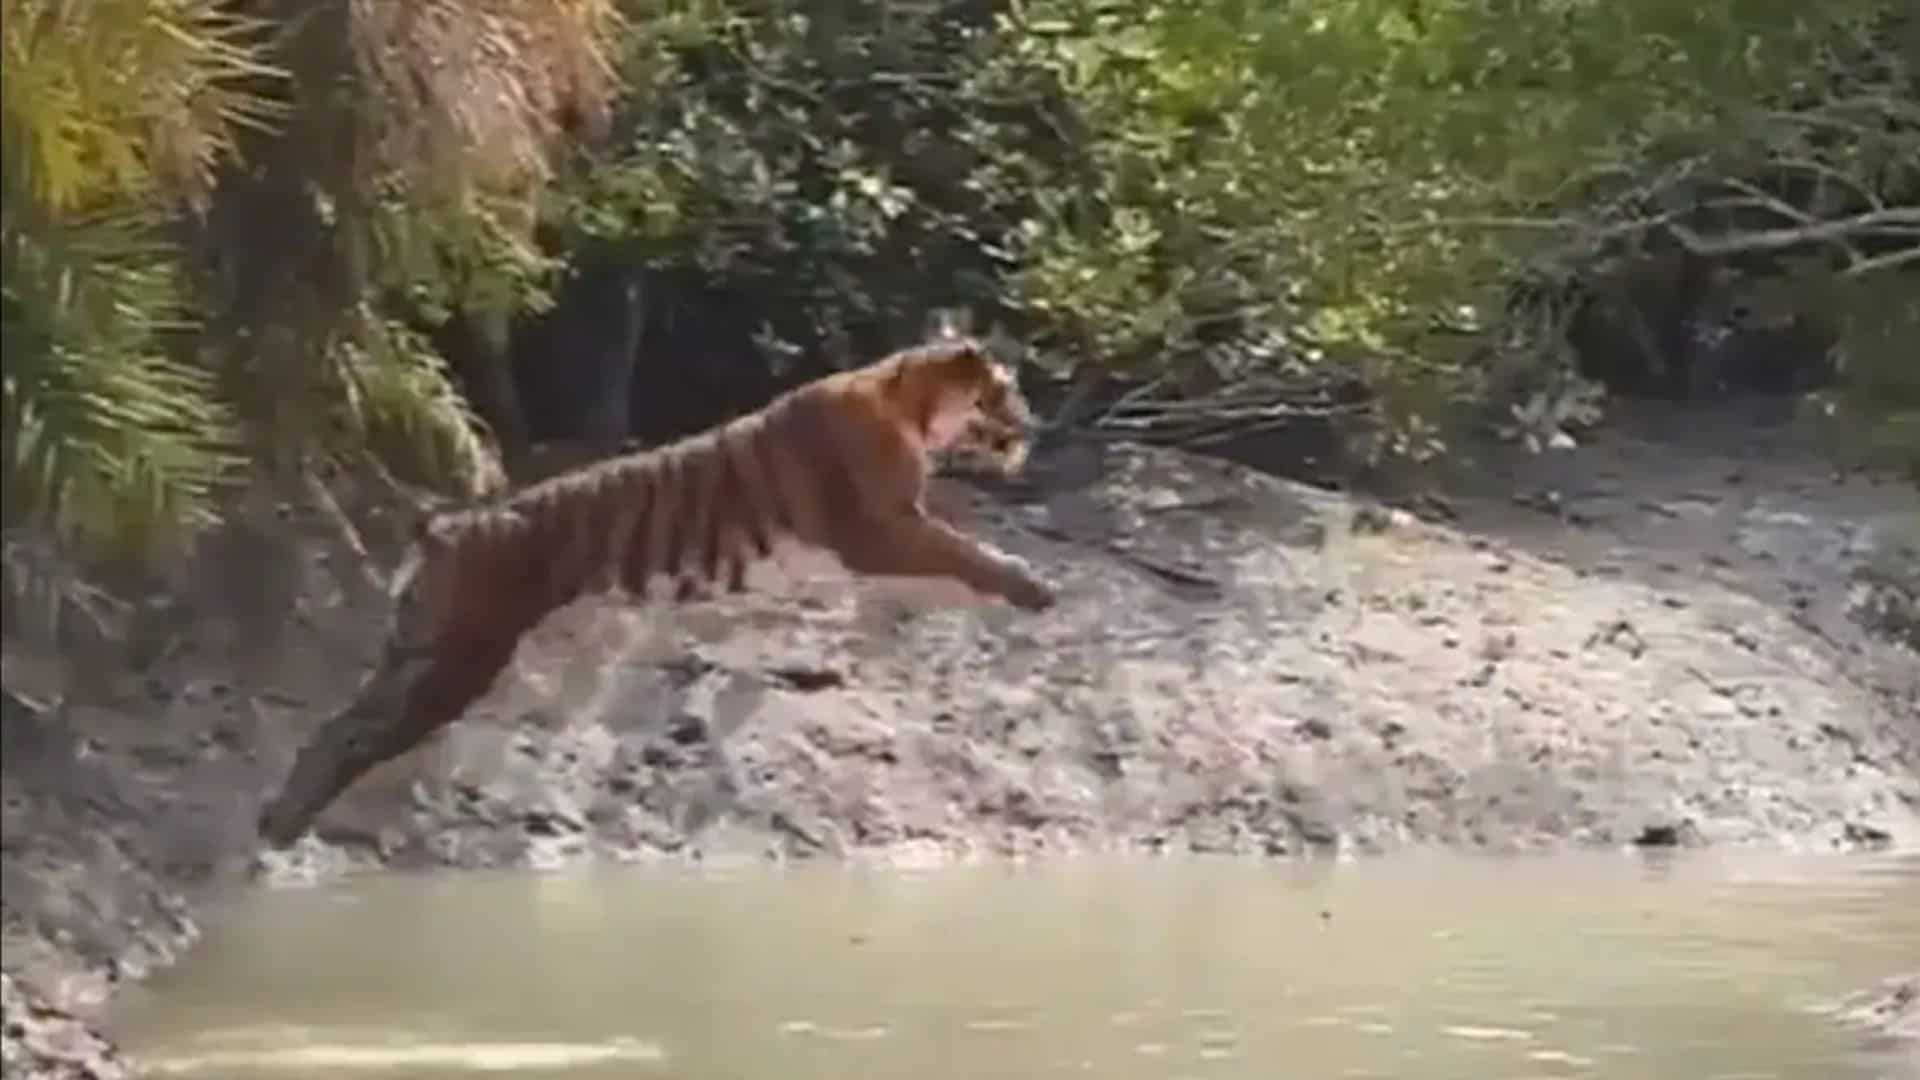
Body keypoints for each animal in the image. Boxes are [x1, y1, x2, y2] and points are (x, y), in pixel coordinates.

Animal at [256, 334, 1056, 849]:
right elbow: (964, 551)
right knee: (359, 736)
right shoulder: (876, 530)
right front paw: (1032, 585)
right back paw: (288, 826)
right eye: (1008, 391)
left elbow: (954, 558)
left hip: (415, 648)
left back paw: (276, 821)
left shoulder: (888, 534)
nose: (1035, 422)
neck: (913, 403)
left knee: (335, 726)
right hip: (461, 657)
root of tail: (444, 525)